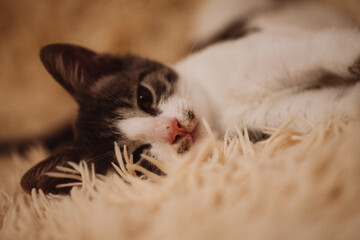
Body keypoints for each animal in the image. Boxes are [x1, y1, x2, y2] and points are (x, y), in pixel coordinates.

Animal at [20, 0, 360, 194]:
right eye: (138, 156)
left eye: (144, 97)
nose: (174, 129)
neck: (217, 106)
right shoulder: (265, 121)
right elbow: (323, 107)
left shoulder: (263, 52)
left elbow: (318, 49)